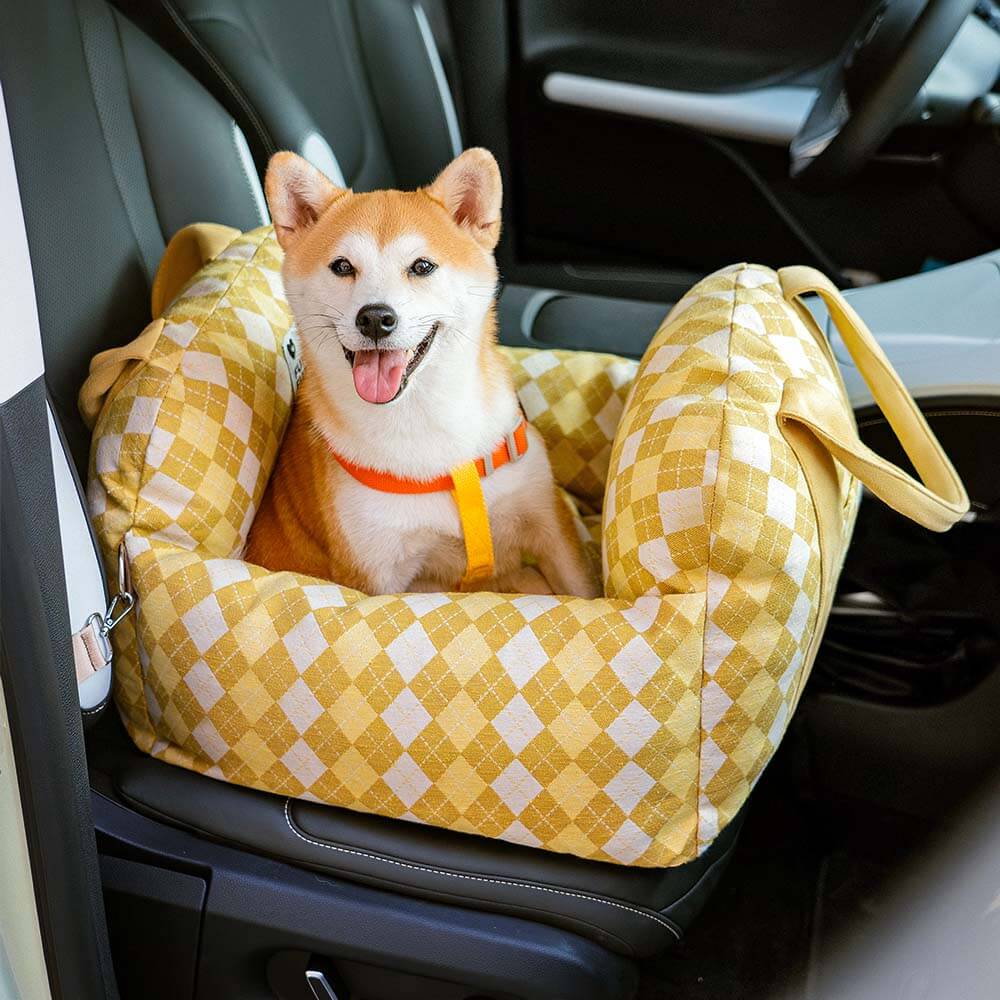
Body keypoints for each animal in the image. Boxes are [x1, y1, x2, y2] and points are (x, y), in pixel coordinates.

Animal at [245, 146, 596, 600]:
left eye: (422, 266)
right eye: (342, 266)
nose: (375, 318)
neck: (425, 421)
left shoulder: (549, 522)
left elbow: (581, 587)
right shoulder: (378, 576)